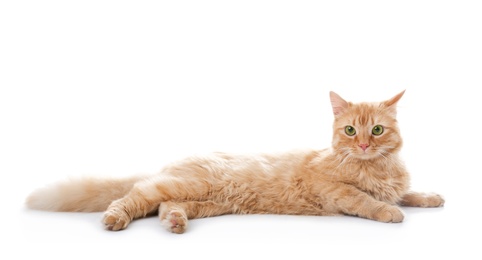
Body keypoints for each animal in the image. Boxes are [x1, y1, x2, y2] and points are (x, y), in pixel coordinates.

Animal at [25, 90, 444, 234]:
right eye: (350, 131)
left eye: (377, 131)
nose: (363, 146)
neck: (377, 166)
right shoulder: (334, 190)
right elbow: (367, 201)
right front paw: (390, 213)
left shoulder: (394, 185)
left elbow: (408, 194)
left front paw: (431, 198)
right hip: (187, 185)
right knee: (135, 195)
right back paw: (116, 218)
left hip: (207, 202)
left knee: (163, 206)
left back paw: (175, 223)